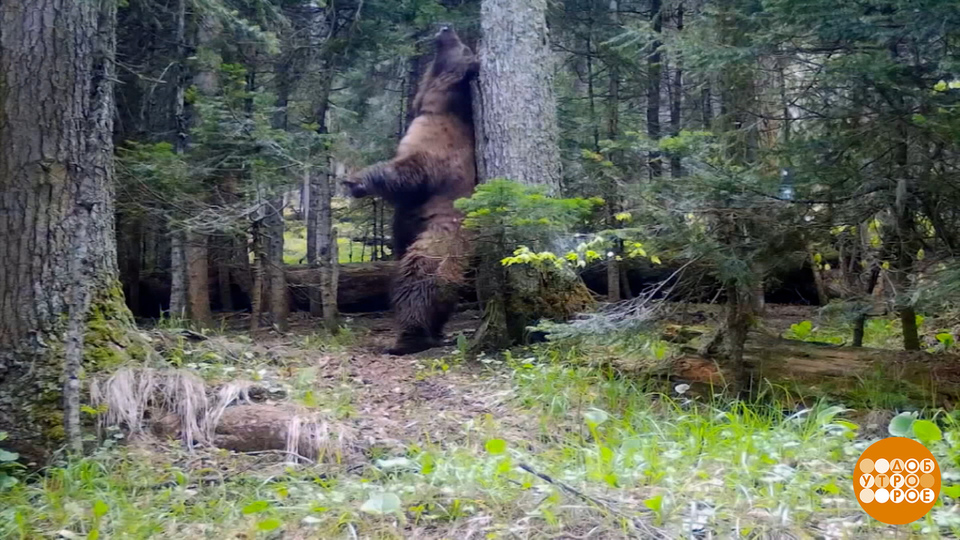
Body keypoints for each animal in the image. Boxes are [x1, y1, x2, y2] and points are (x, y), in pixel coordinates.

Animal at [344, 25, 480, 356]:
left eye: (461, 46)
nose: (445, 27)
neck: (436, 105)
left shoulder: (437, 148)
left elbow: (406, 174)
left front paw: (356, 181)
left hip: (440, 238)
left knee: (420, 277)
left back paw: (408, 338)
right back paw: (435, 331)